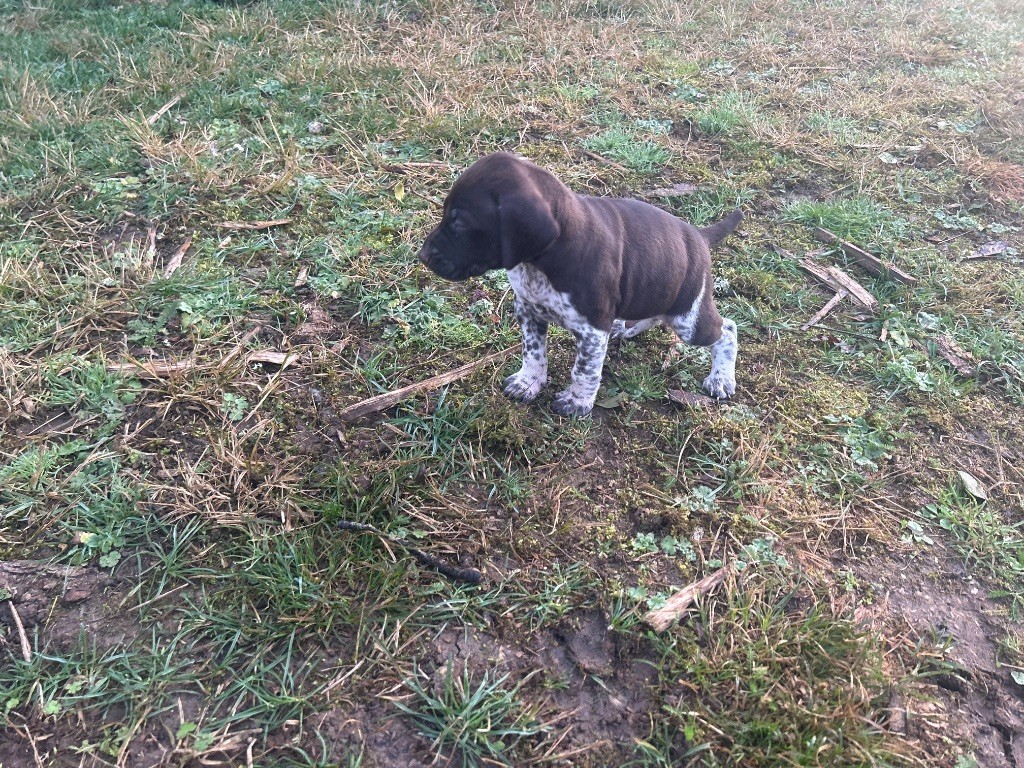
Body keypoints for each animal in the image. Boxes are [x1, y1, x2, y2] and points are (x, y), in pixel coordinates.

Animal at [417, 153, 745, 417]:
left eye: (459, 222)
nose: (422, 256)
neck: (542, 263)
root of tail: (699, 236)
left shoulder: (592, 330)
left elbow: (584, 371)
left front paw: (576, 402)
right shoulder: (529, 311)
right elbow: (533, 353)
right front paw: (528, 382)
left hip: (688, 317)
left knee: (726, 329)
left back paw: (721, 379)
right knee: (652, 316)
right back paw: (625, 329)